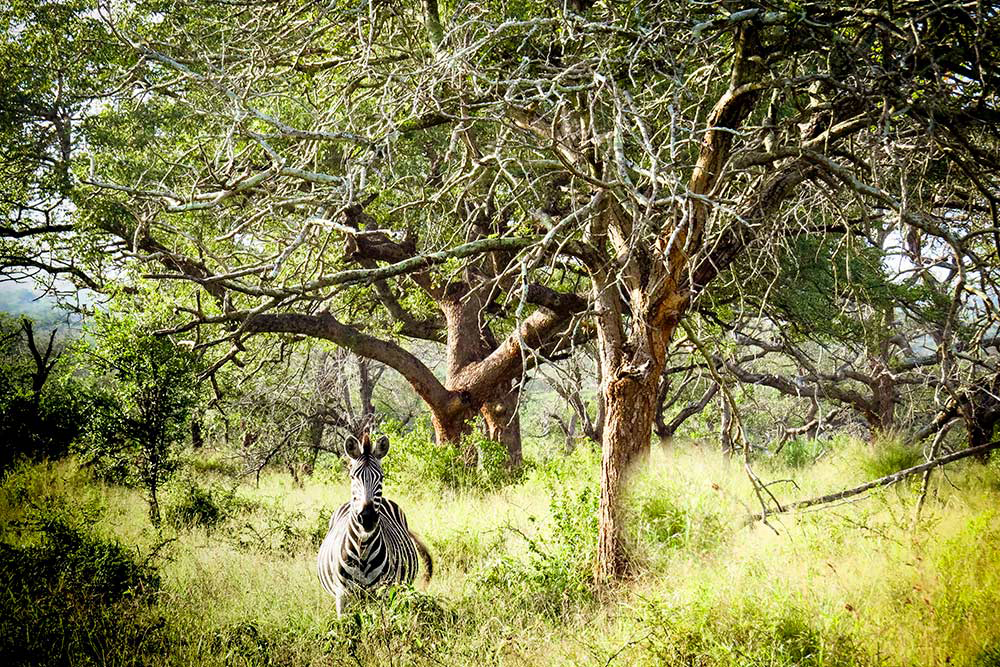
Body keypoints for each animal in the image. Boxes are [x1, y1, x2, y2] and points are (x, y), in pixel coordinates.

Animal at [318, 434, 432, 616]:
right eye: (352, 477)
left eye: (382, 477)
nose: (367, 517)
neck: (363, 549)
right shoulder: (342, 595)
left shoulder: (384, 593)